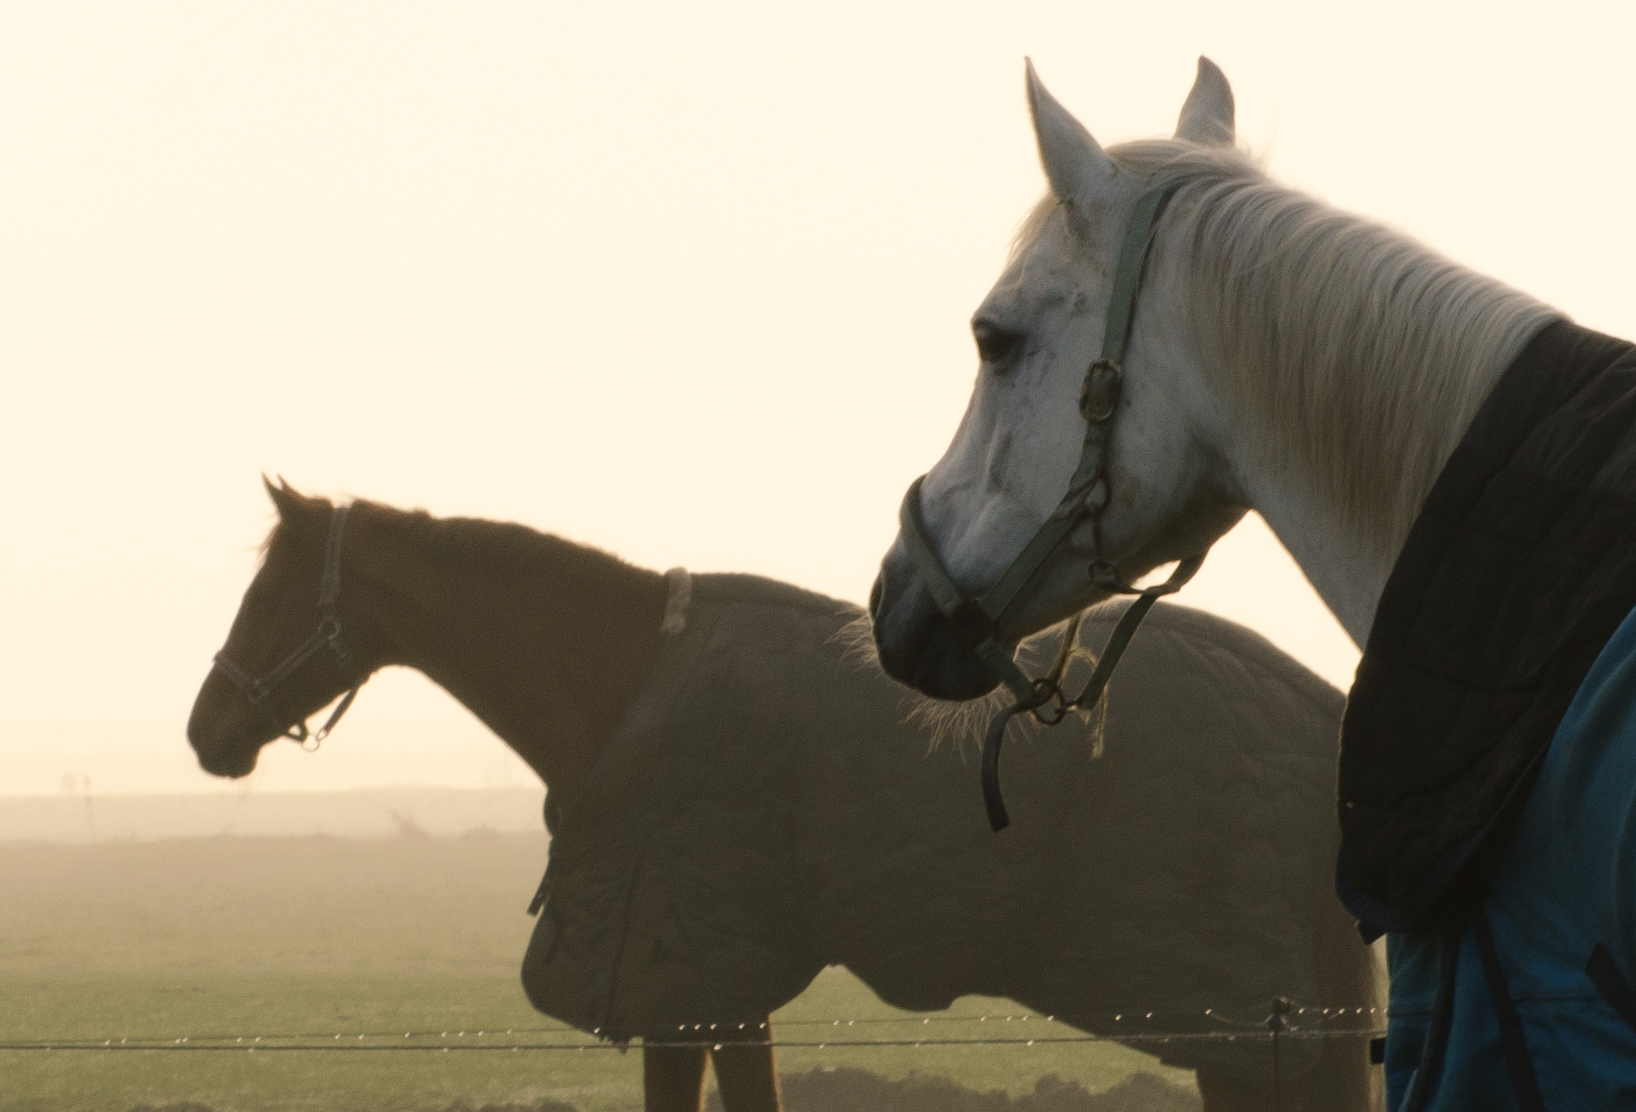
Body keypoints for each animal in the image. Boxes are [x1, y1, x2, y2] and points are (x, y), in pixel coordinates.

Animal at [189, 480, 1378, 1112]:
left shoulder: (690, 974)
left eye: (269, 590)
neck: (625, 673)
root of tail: (1322, 710)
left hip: (1233, 1020)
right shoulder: (703, 986)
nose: (206, 731)